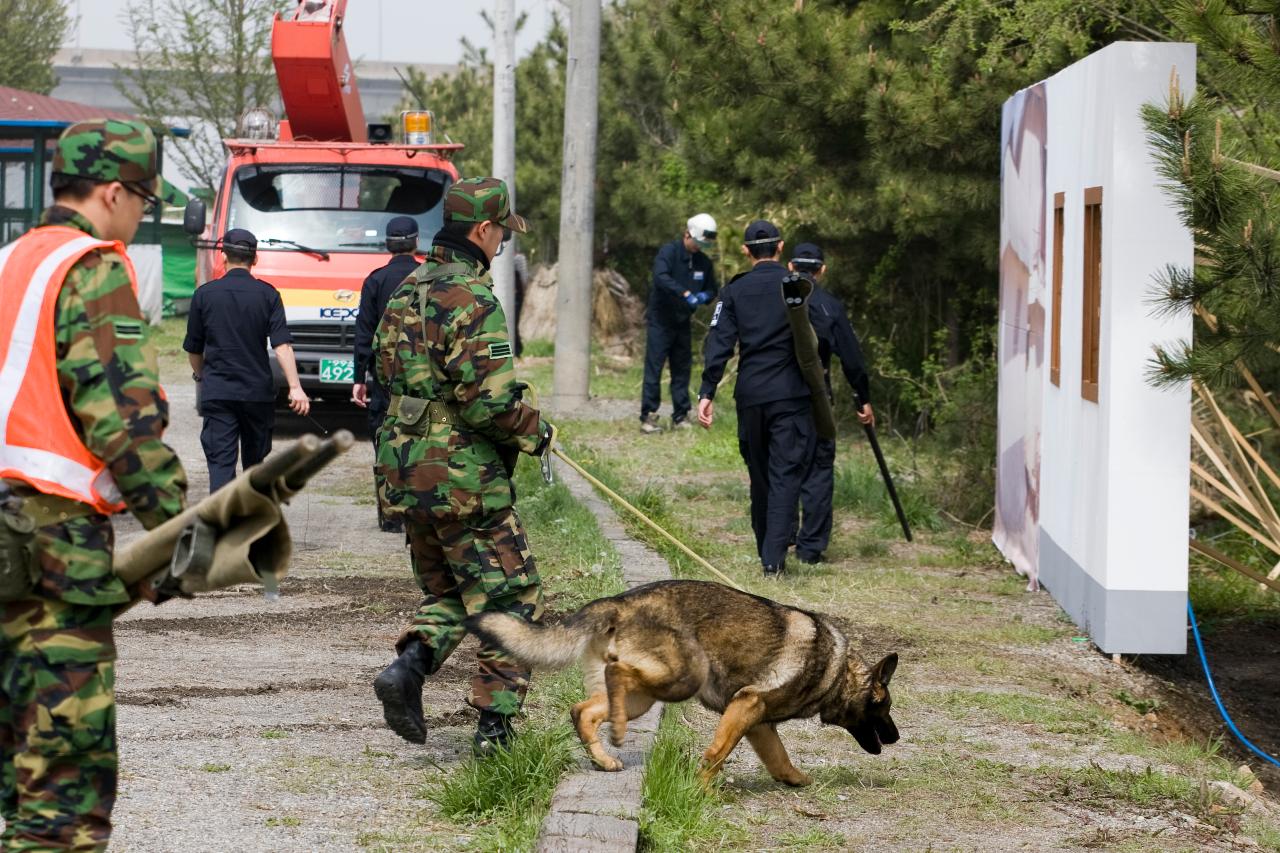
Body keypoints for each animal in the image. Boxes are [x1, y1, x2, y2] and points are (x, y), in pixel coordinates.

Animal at [471, 578, 901, 783]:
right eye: (884, 706)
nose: (896, 737)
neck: (836, 669)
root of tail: (620, 602)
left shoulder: (756, 722)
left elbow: (780, 759)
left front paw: (797, 781)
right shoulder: (747, 707)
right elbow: (717, 754)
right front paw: (702, 789)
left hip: (640, 698)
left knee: (584, 710)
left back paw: (604, 758)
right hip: (684, 677)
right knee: (616, 674)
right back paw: (615, 738)